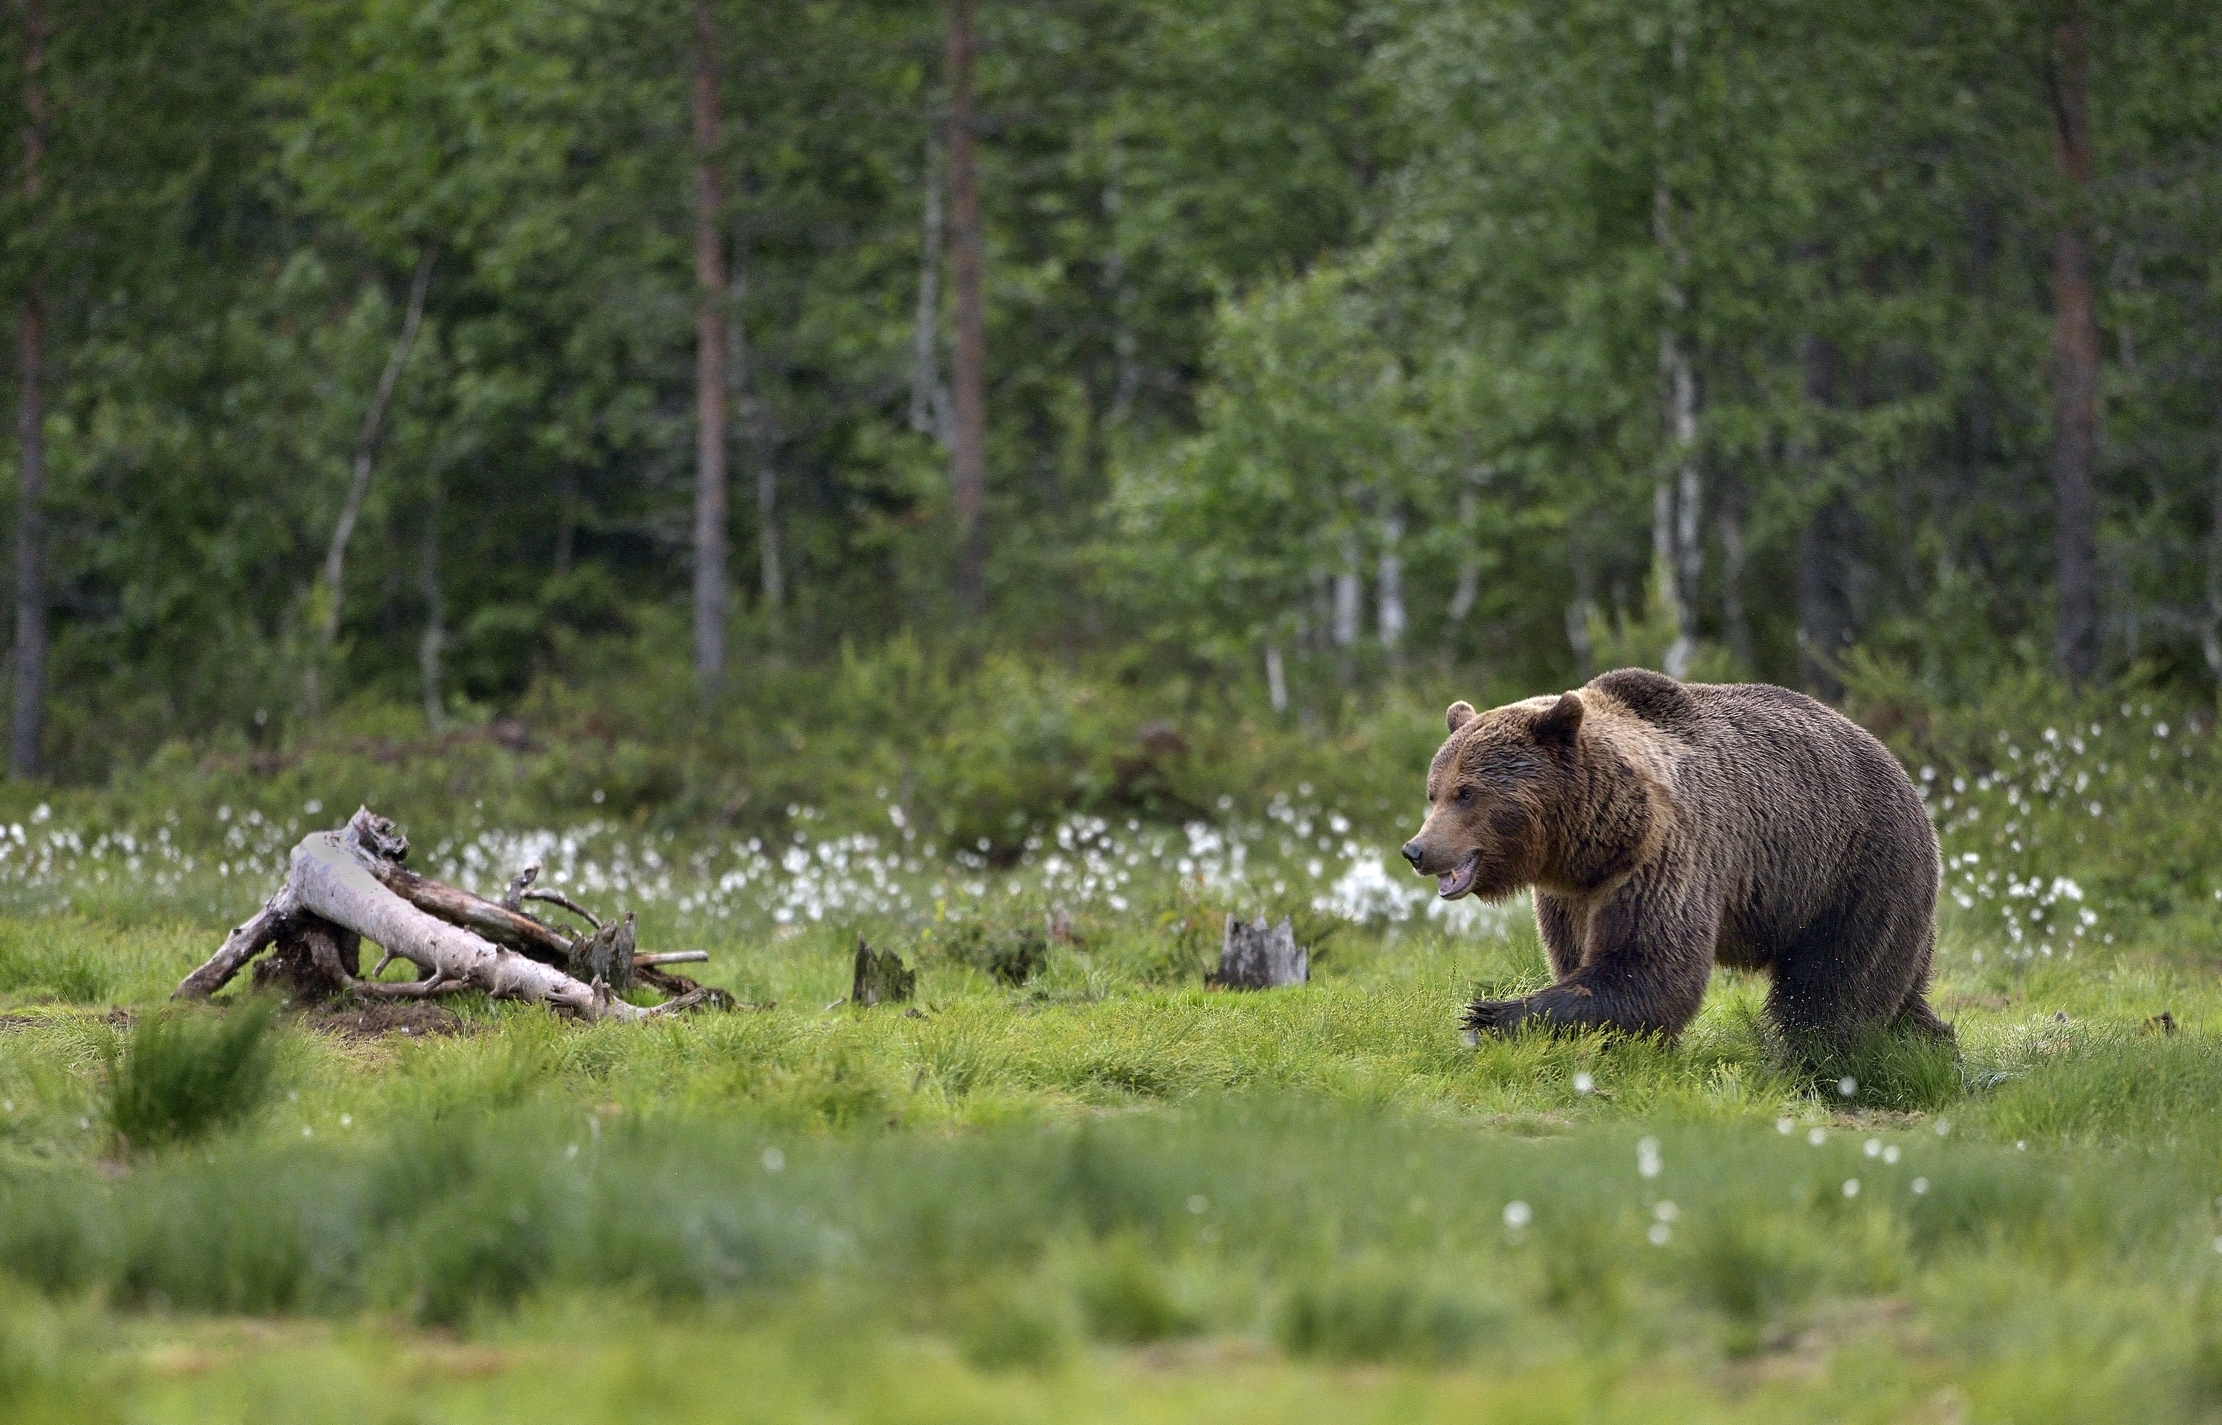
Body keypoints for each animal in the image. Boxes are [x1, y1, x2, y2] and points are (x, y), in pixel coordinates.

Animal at [1399, 667, 1949, 1050]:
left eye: (1467, 793)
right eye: (1434, 792)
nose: (1416, 850)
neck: (1596, 838)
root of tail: (1906, 775)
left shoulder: (1665, 856)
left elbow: (1648, 965)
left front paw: (1494, 1013)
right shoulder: (1571, 894)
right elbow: (1583, 957)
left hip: (1857, 872)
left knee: (1833, 988)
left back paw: (1818, 1054)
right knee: (1899, 982)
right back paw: (1929, 1038)